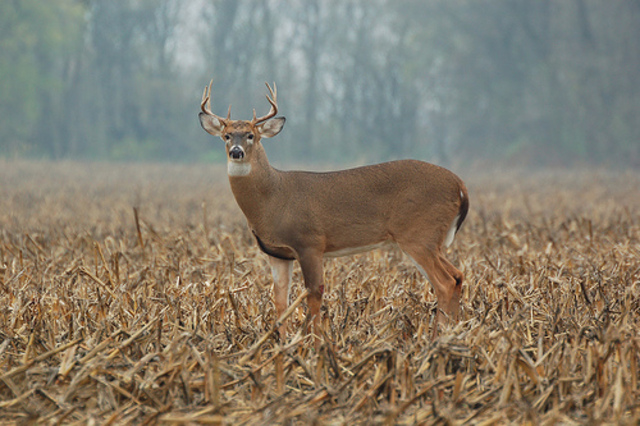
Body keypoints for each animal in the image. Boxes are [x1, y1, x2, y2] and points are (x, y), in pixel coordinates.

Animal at [198, 81, 469, 345]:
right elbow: (280, 301)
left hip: (418, 235)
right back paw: (454, 334)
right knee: (457, 275)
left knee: (444, 282)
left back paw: (438, 340)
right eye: (226, 135)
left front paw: (317, 345)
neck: (273, 198)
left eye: (251, 135)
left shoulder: (310, 242)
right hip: (431, 241)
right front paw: (283, 345)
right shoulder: (277, 253)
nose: (236, 151)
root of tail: (460, 186)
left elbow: (314, 293)